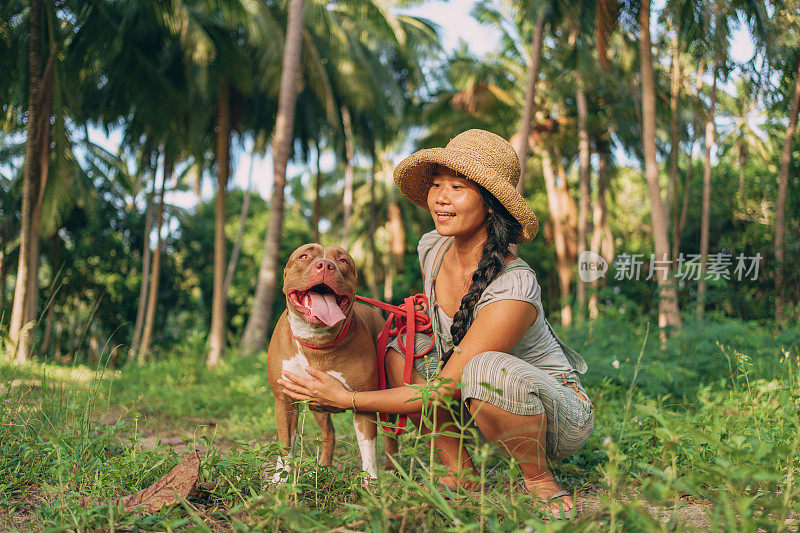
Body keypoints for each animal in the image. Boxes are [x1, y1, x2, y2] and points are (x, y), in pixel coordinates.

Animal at [268, 243, 396, 480]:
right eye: (304, 256)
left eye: (343, 260)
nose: (326, 265)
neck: (317, 342)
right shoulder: (284, 400)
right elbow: (285, 444)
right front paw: (280, 481)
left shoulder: (363, 404)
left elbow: (369, 451)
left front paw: (370, 484)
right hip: (317, 407)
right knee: (329, 433)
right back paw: (321, 469)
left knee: (391, 435)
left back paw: (393, 470)